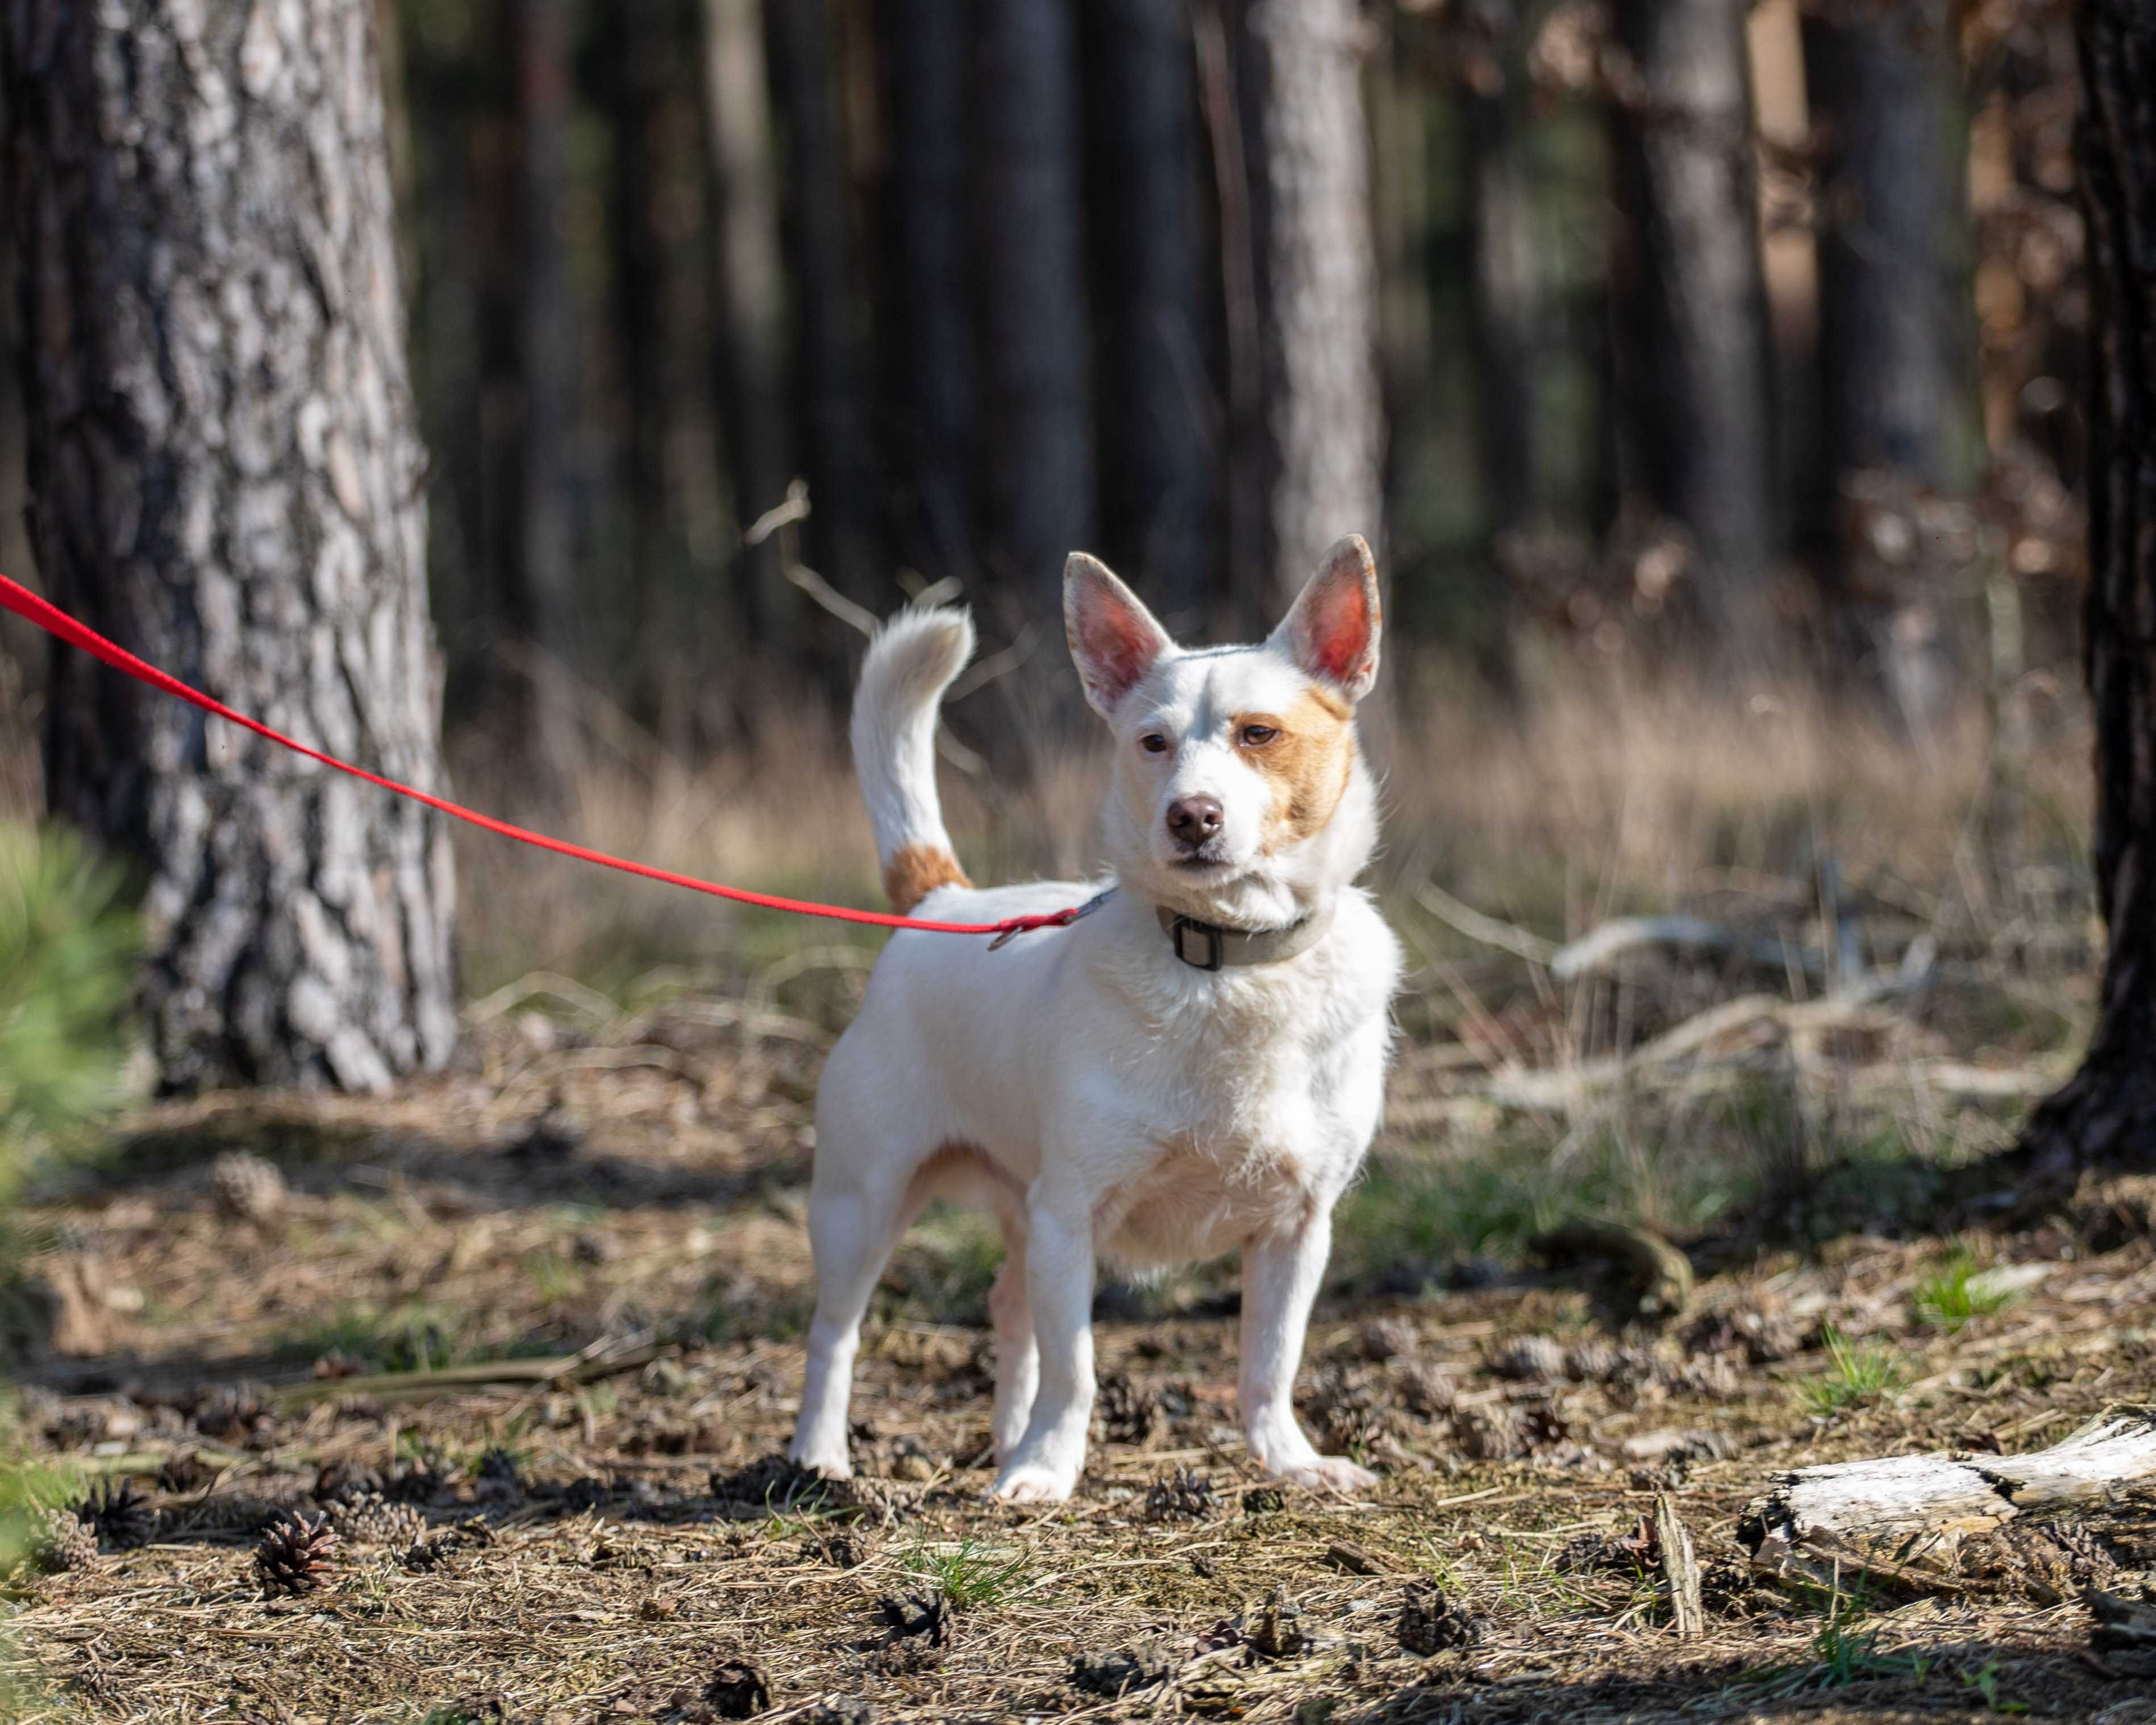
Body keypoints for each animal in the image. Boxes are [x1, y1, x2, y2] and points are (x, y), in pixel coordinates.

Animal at [789, 534, 1397, 1492]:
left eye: (1258, 734)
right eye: (1151, 742)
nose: (1191, 815)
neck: (1226, 962)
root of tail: (941, 899)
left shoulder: (1298, 1227)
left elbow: (1270, 1360)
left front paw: (1290, 1461)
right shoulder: (1068, 1216)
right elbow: (1074, 1366)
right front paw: (1049, 1470)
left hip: (1012, 1207)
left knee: (1007, 1310)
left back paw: (1006, 1437)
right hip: (864, 1202)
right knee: (836, 1332)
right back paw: (821, 1454)